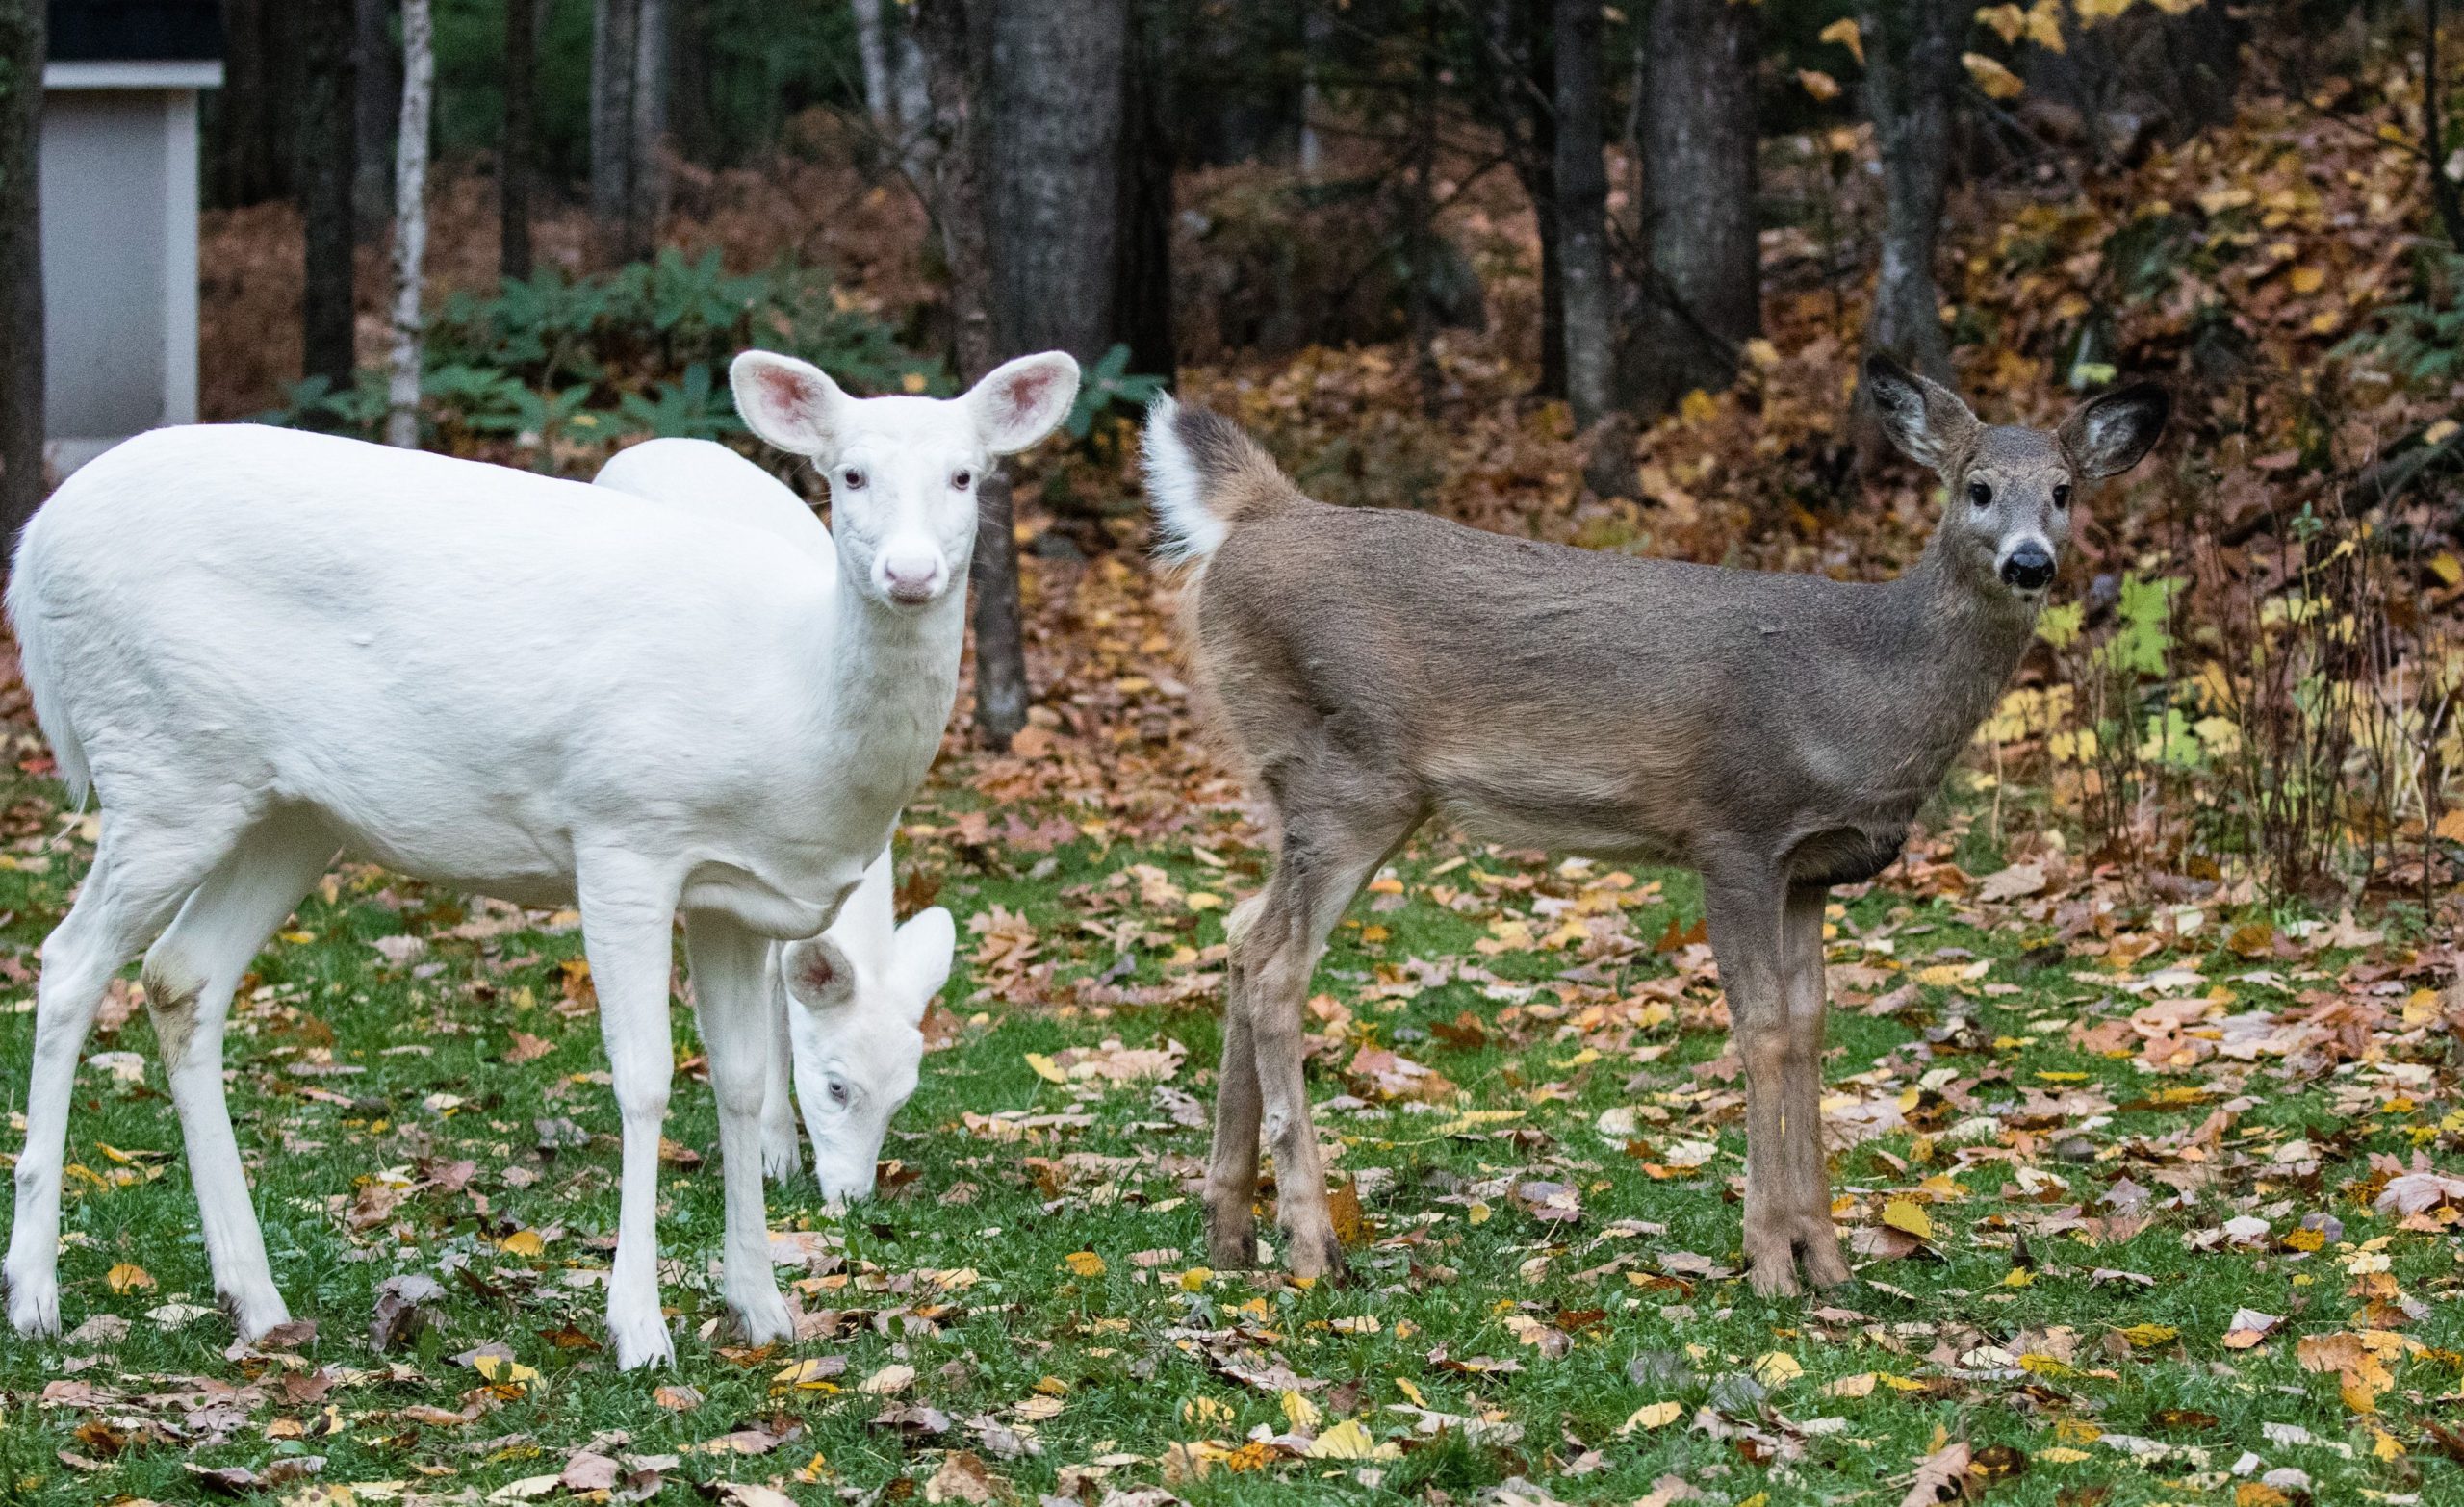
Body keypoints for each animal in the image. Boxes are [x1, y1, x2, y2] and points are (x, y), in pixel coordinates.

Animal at [1140, 356, 2167, 1296]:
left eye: (2065, 491)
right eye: (1977, 487)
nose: (2029, 561)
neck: (1864, 692)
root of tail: (1254, 515)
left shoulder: (1813, 870)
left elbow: (1808, 1028)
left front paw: (1829, 1263)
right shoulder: (1736, 831)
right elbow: (1761, 1030)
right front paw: (1770, 1265)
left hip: (1303, 785)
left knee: (1240, 933)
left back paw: (1229, 1235)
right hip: (1351, 775)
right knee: (1276, 962)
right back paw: (1313, 1245)